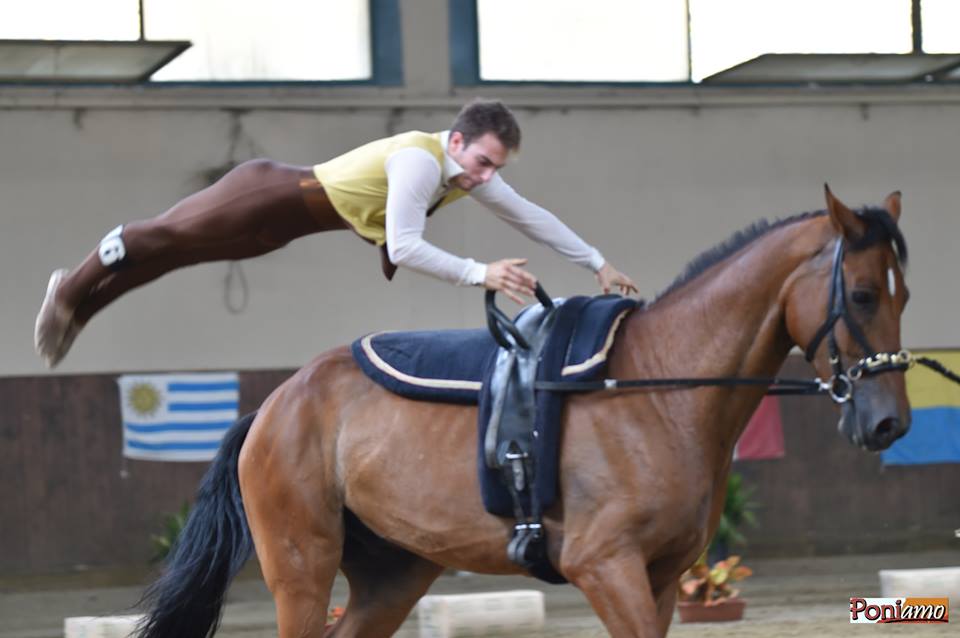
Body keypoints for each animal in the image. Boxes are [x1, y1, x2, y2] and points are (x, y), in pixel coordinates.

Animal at [135, 186, 908, 638]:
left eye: (905, 294)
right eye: (863, 295)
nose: (889, 423)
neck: (657, 389)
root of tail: (276, 403)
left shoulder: (660, 578)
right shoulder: (607, 567)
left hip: (393, 574)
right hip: (302, 568)